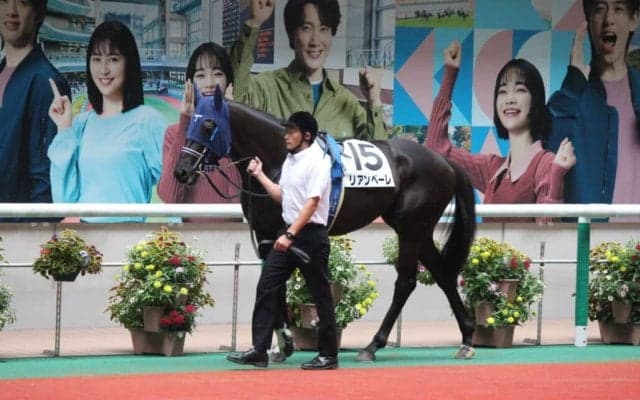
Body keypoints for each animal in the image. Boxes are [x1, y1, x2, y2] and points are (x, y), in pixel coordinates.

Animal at [173, 89, 478, 360]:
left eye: (209, 124)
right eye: (191, 122)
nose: (181, 171)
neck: (280, 158)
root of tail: (445, 162)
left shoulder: (281, 231)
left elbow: (276, 283)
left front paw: (280, 343)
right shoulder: (265, 235)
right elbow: (273, 283)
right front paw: (282, 344)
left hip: (412, 229)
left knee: (406, 282)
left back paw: (372, 346)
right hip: (419, 230)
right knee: (443, 274)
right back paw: (466, 337)